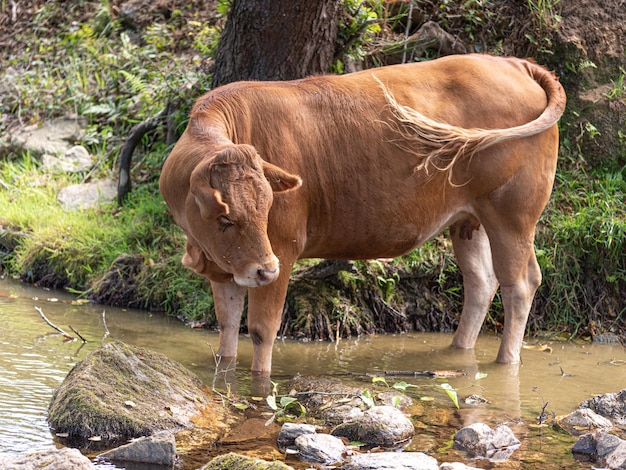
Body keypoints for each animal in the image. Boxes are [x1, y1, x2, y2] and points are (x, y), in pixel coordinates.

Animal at [160, 53, 564, 374]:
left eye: (268, 209)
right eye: (225, 219)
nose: (266, 270)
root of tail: (513, 63)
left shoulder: (283, 249)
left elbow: (261, 330)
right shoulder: (226, 263)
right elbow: (227, 326)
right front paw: (225, 370)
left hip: (512, 216)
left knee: (520, 284)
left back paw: (506, 361)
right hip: (470, 219)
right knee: (481, 282)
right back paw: (459, 351)